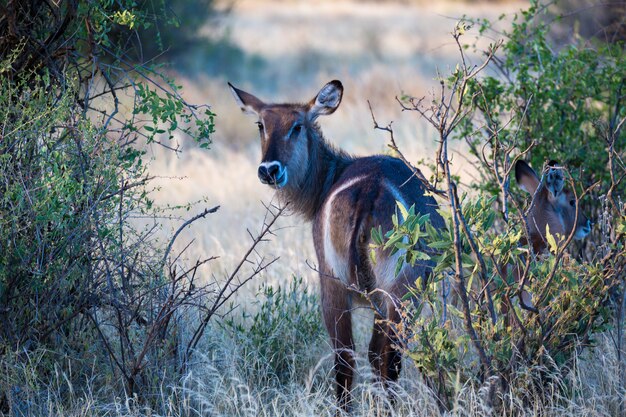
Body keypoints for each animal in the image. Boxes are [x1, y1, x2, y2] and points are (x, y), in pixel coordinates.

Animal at [229, 80, 444, 410]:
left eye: (297, 126)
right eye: (261, 125)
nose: (269, 170)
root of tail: (369, 189)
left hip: (336, 285)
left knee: (348, 358)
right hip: (393, 293)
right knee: (384, 356)